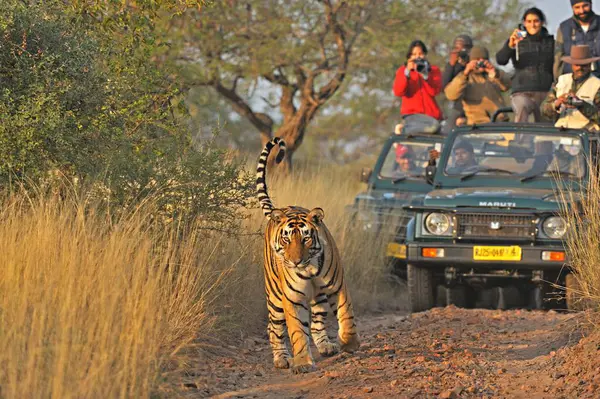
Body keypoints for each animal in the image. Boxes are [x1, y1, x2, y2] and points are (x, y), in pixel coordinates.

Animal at [254, 138, 358, 376]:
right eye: (286, 240)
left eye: (306, 239)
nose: (295, 261)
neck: (309, 269)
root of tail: (279, 210)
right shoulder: (292, 298)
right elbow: (297, 332)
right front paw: (302, 363)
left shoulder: (338, 287)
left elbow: (345, 316)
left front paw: (349, 343)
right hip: (274, 298)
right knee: (273, 327)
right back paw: (281, 359)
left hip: (319, 296)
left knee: (318, 320)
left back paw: (326, 345)